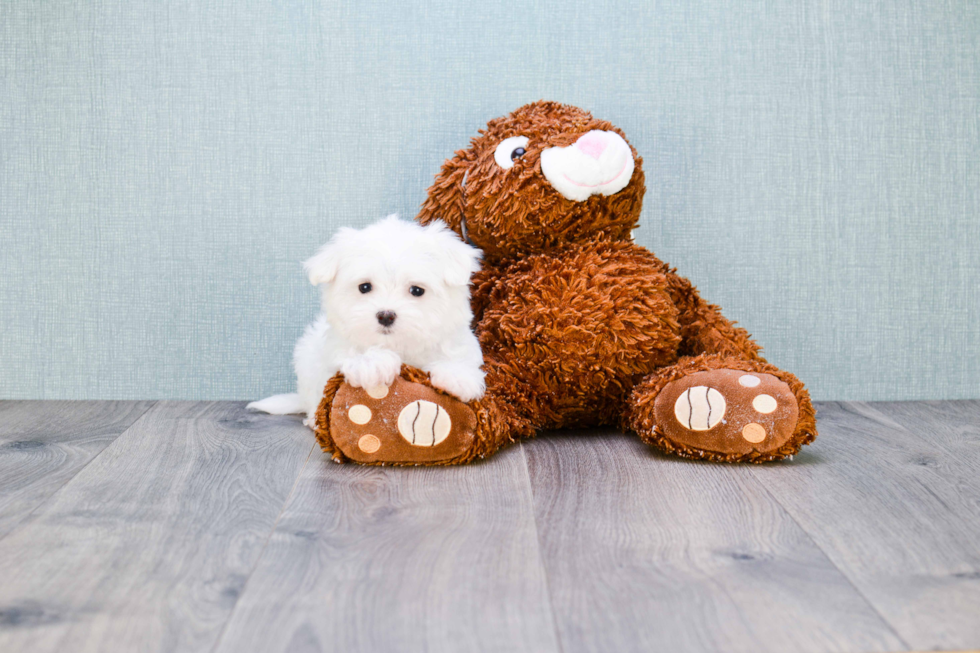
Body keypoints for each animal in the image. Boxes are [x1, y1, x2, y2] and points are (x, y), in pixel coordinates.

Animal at [249, 215, 486, 428]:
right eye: (365, 287)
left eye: (417, 290)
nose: (386, 315)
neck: (400, 347)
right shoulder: (335, 350)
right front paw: (372, 363)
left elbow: (457, 356)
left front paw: (457, 376)